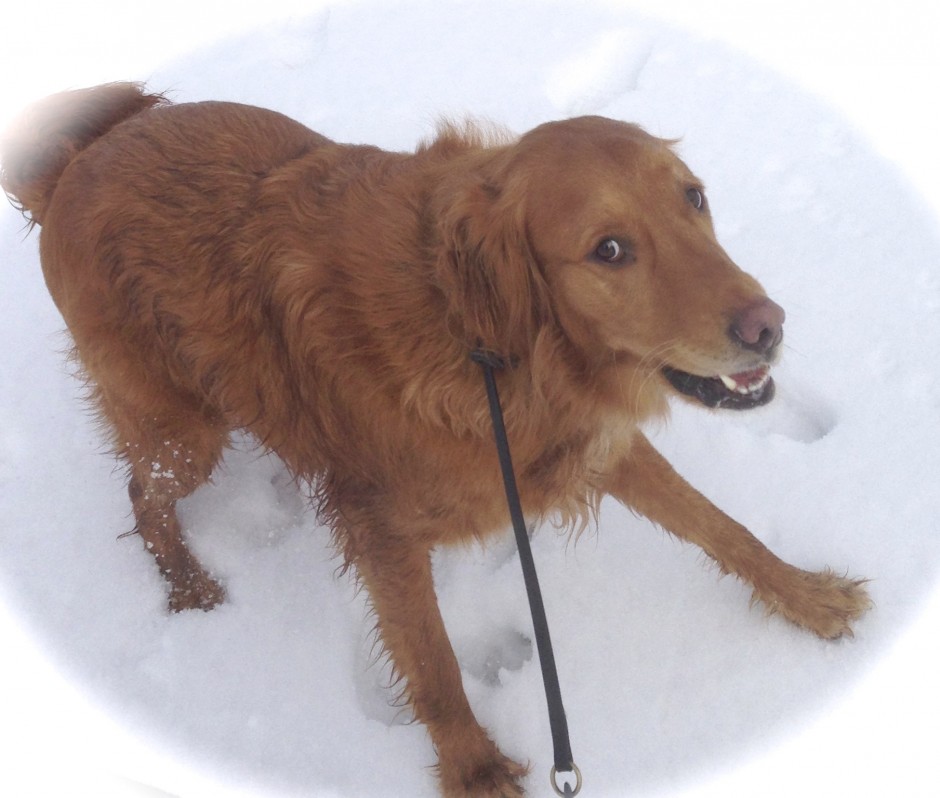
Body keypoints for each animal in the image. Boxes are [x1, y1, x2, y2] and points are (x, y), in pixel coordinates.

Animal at [1, 83, 870, 797]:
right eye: (609, 250)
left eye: (694, 198)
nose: (768, 327)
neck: (484, 337)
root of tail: (74, 163)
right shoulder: (380, 527)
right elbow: (435, 662)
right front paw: (474, 769)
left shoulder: (586, 442)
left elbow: (720, 526)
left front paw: (805, 596)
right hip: (186, 432)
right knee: (142, 494)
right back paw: (186, 586)